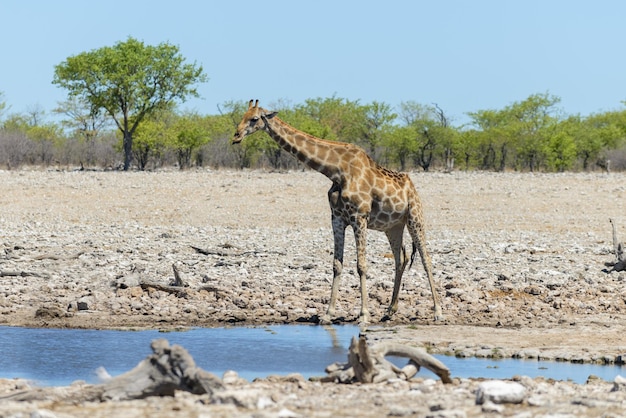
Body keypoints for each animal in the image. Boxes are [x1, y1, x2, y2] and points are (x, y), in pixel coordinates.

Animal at [232, 100, 442, 324]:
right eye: (243, 115)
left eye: (254, 118)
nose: (236, 136)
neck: (335, 171)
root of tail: (413, 187)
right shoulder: (337, 218)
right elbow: (337, 265)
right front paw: (328, 314)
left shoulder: (359, 217)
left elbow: (361, 265)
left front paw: (363, 315)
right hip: (392, 226)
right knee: (400, 258)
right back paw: (389, 311)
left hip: (414, 217)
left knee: (426, 259)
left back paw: (437, 311)